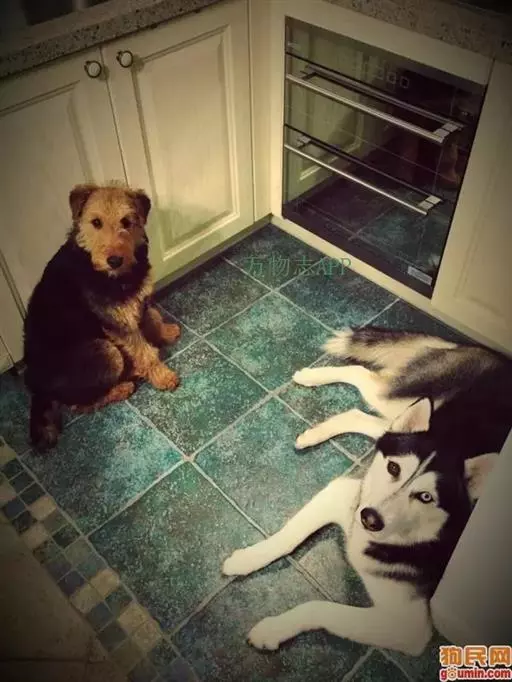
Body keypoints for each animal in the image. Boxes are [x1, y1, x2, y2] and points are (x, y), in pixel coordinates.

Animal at [24, 182, 181, 452]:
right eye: (95, 222)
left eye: (127, 222)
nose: (114, 261)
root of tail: (37, 388)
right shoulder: (117, 321)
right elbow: (145, 352)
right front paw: (162, 376)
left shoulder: (136, 302)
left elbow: (151, 318)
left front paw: (165, 332)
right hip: (106, 352)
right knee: (79, 404)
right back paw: (123, 386)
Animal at [222, 327, 512, 655]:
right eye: (393, 468)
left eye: (426, 497)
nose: (369, 518)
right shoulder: (342, 495)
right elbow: (286, 538)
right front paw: (247, 559)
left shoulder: (409, 627)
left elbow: (321, 607)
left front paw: (273, 629)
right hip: (408, 408)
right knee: (362, 378)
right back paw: (311, 377)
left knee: (362, 413)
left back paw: (314, 427)